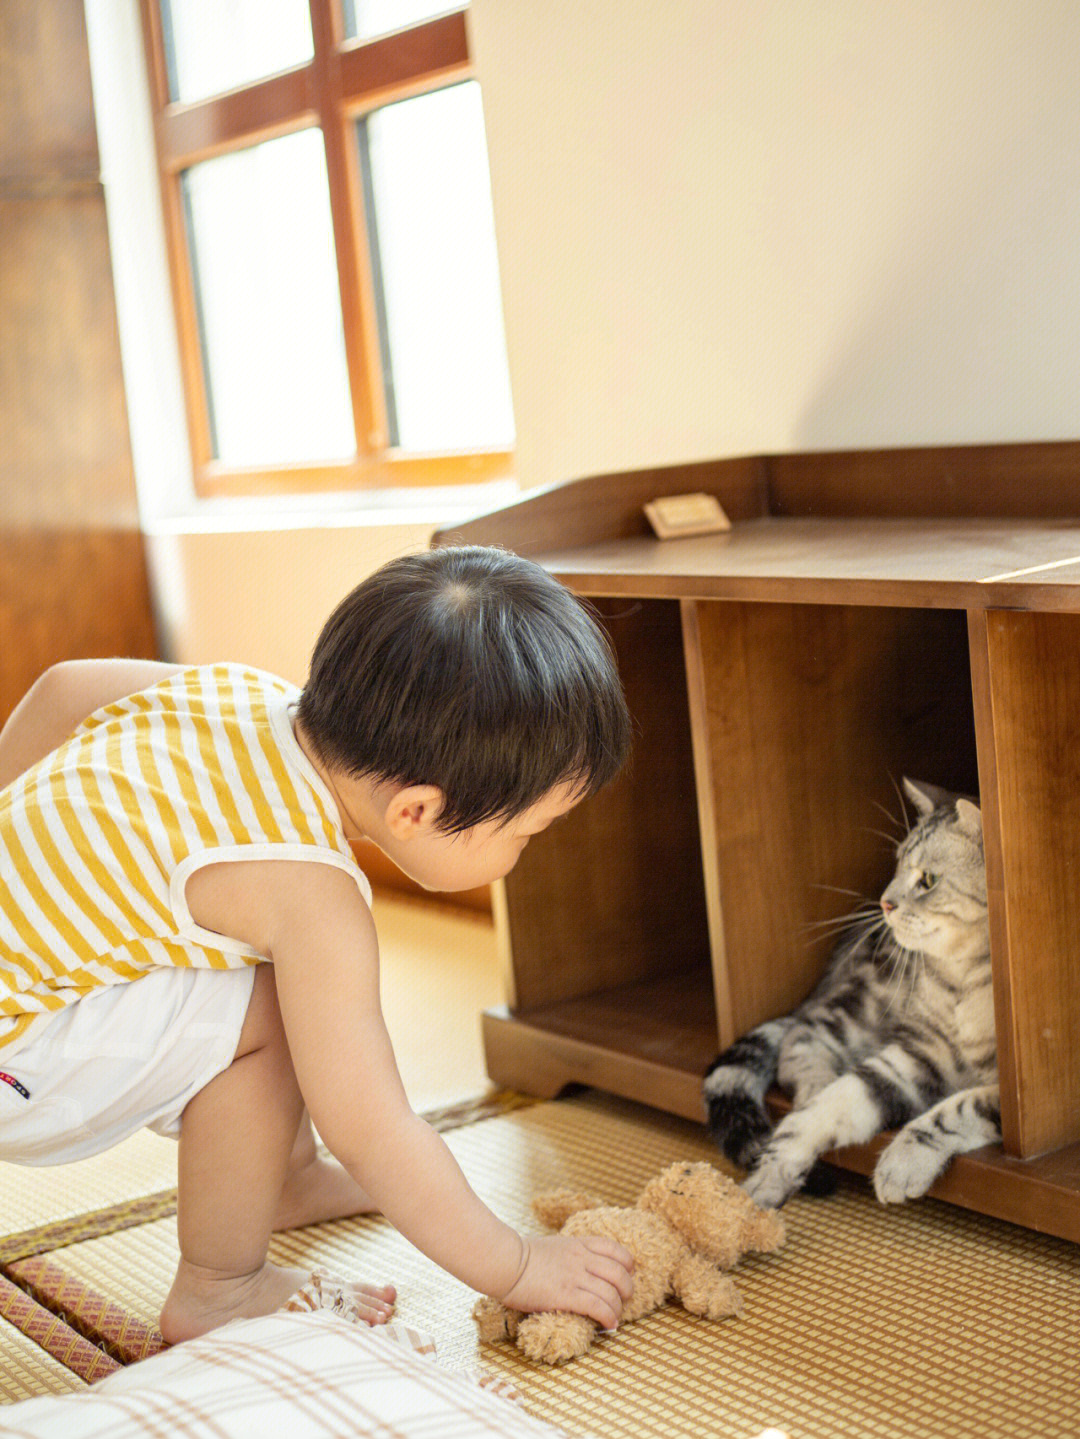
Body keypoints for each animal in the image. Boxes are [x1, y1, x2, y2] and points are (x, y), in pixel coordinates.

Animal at [704, 782, 1000, 1208]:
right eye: (897, 865)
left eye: (928, 879)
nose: (885, 902)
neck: (963, 980)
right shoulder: (919, 1055)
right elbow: (834, 1103)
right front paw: (770, 1173)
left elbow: (960, 1106)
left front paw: (902, 1161)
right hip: (867, 997)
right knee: (801, 1036)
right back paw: (816, 1081)